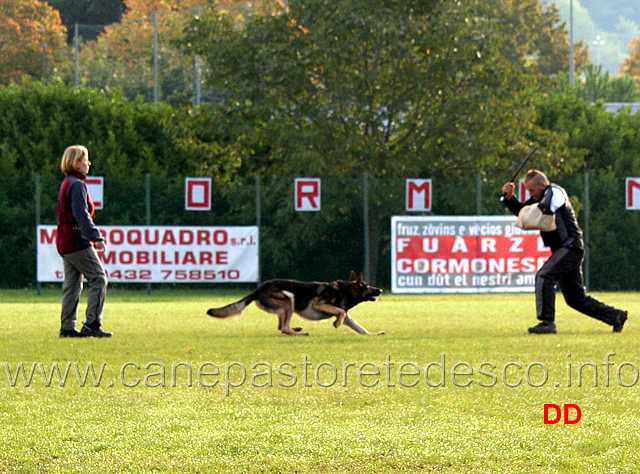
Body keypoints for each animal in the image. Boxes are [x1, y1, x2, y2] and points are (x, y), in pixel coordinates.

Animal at [208, 272, 382, 336]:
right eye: (367, 286)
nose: (380, 289)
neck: (344, 290)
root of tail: (258, 289)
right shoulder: (319, 304)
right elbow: (342, 312)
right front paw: (336, 323)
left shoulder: (348, 319)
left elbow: (360, 329)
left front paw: (374, 334)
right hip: (289, 300)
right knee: (284, 328)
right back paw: (299, 333)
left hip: (285, 306)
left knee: (281, 327)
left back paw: (296, 329)